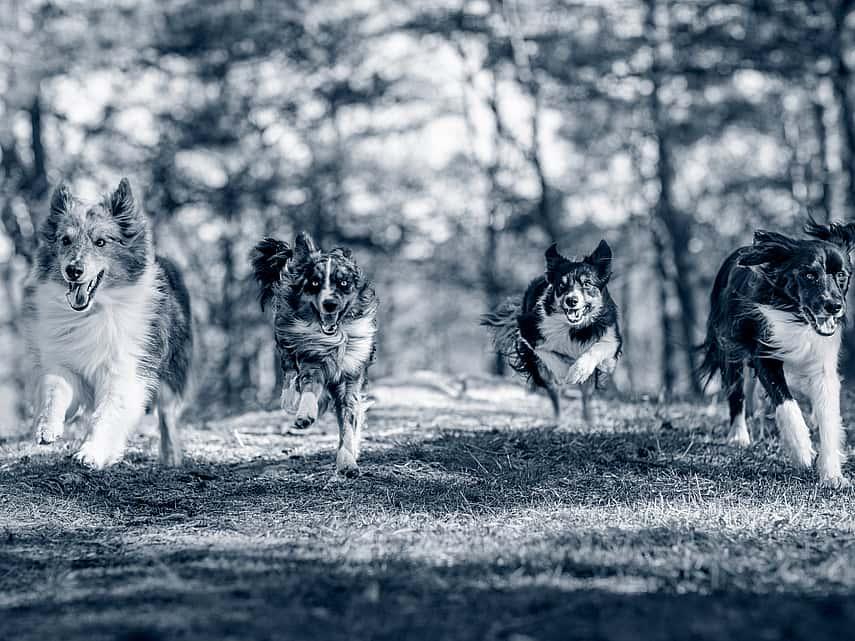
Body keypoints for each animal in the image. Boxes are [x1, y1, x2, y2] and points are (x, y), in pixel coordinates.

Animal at [22, 178, 193, 468]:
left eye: (100, 242)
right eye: (65, 240)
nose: (73, 270)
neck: (94, 311)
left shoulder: (126, 372)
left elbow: (107, 415)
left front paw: (91, 452)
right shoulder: (64, 363)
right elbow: (55, 391)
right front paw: (47, 427)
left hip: (172, 372)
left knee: (167, 415)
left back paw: (171, 457)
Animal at [251, 231, 378, 476]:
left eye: (343, 283)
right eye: (315, 282)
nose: (330, 304)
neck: (335, 338)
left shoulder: (350, 379)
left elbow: (348, 422)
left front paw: (347, 461)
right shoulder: (312, 359)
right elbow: (309, 385)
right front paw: (305, 415)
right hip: (285, 341)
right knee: (290, 371)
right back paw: (290, 400)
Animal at [482, 239, 620, 416]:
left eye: (587, 283)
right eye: (561, 285)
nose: (571, 300)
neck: (574, 328)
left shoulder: (612, 336)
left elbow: (598, 350)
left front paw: (579, 370)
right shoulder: (528, 328)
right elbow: (547, 353)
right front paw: (566, 371)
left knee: (586, 398)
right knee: (554, 393)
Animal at [704, 222, 855, 488]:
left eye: (842, 275)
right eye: (809, 275)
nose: (834, 306)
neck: (796, 316)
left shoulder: (823, 364)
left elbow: (828, 415)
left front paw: (832, 474)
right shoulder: (764, 354)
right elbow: (786, 403)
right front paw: (802, 450)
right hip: (729, 344)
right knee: (737, 392)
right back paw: (738, 435)